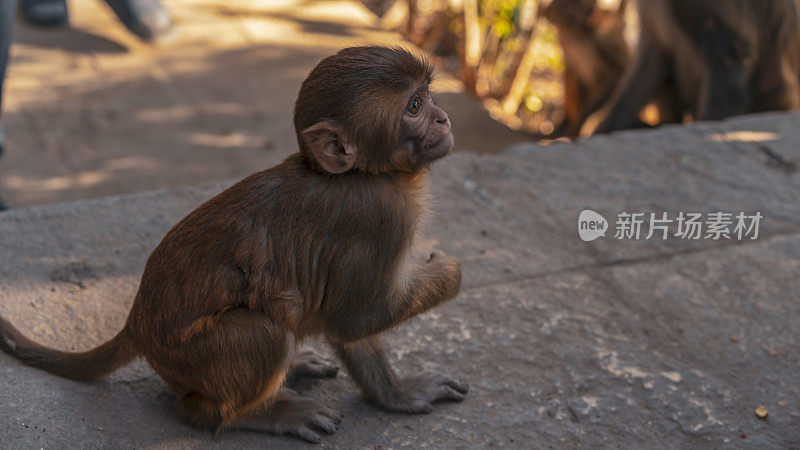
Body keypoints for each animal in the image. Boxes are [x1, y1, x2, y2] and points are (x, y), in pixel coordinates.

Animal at [0, 46, 468, 442]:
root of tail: (136, 323)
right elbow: (354, 318)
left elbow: (350, 326)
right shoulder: (383, 218)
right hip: (188, 358)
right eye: (414, 107)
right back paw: (256, 413)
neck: (365, 174)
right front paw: (449, 269)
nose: (443, 118)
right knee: (261, 336)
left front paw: (396, 394)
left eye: (428, 97)